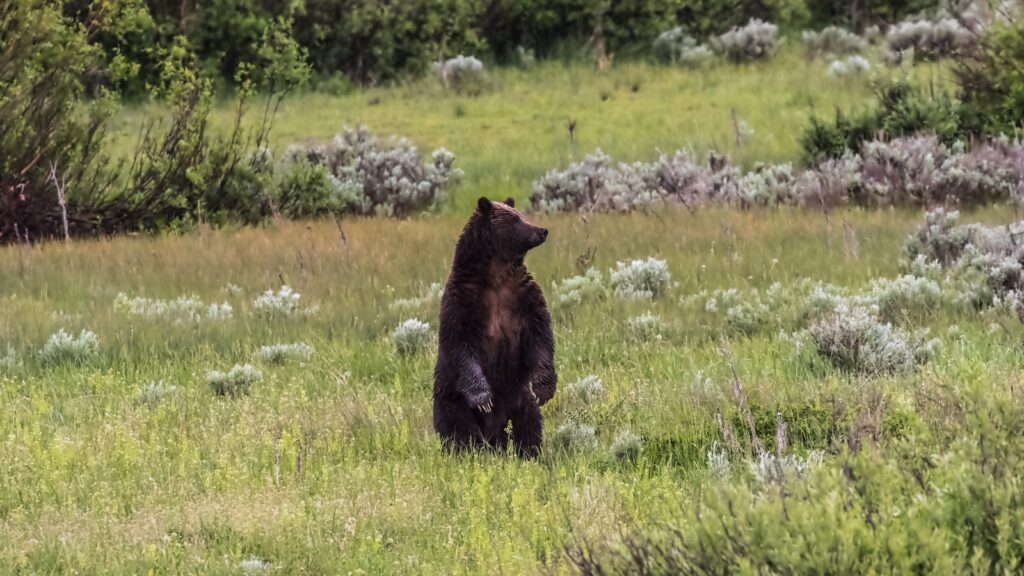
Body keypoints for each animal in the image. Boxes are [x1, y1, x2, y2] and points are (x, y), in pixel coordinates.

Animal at [434, 194, 561, 455]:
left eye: (522, 215)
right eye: (515, 219)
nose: (542, 230)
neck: (496, 275)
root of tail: (495, 432)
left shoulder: (522, 297)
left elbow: (541, 335)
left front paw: (544, 389)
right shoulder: (463, 302)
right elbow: (459, 344)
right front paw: (483, 398)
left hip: (518, 395)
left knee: (530, 422)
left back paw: (529, 452)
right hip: (451, 397)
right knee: (458, 427)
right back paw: (467, 450)